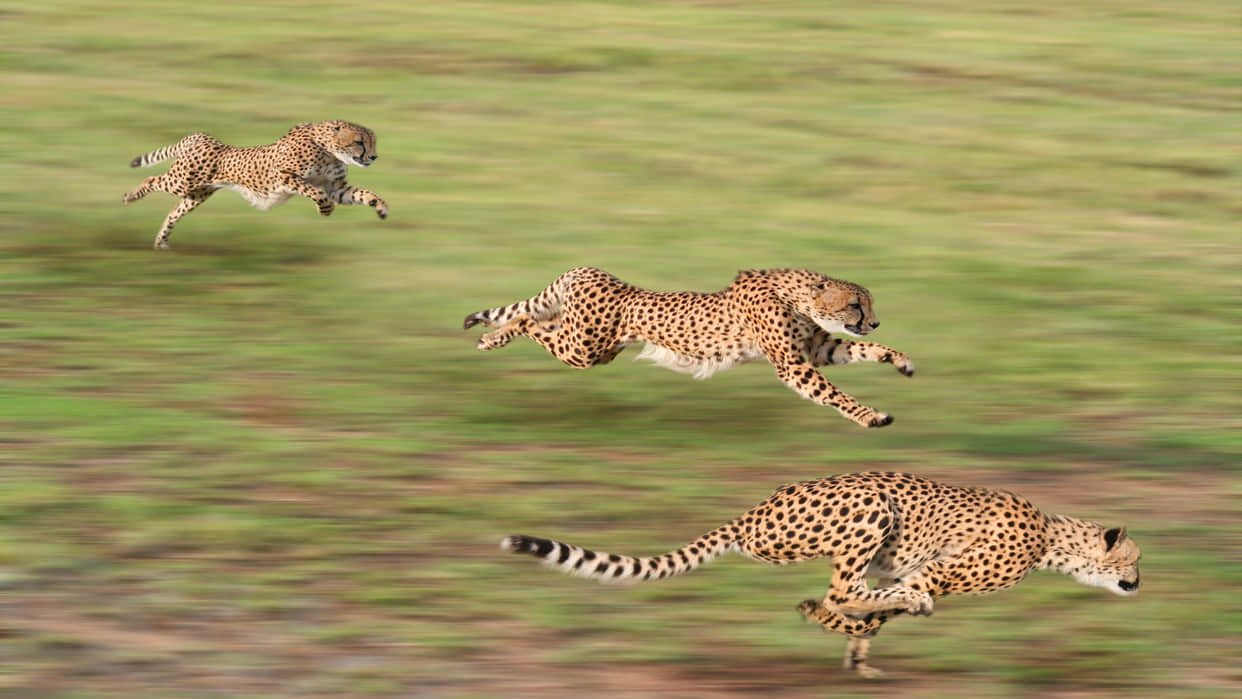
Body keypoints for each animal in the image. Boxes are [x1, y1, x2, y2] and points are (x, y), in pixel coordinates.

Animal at [123, 120, 388, 249]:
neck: (328, 149)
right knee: (151, 179)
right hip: (182, 180)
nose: (374, 157)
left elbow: (365, 193)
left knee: (173, 213)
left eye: (373, 142)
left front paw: (381, 207)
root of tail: (202, 137)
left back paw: (161, 241)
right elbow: (313, 191)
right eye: (359, 142)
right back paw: (130, 197)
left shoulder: (336, 188)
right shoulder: (283, 175)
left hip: (197, 194)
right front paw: (325, 209)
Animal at [463, 266, 914, 428]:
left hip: (588, 342)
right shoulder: (792, 364)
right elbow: (835, 394)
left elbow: (864, 350)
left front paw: (901, 360)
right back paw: (492, 337)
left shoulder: (817, 350)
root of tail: (589, 270)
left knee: (537, 321)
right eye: (855, 304)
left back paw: (490, 335)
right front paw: (871, 416)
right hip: (583, 350)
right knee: (526, 321)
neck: (799, 294)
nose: (873, 321)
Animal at [502, 471, 1142, 678]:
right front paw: (853, 634)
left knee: (847, 593)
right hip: (872, 507)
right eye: (1135, 560)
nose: (1140, 583)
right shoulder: (939, 570)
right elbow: (897, 598)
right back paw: (823, 608)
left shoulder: (918, 571)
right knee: (842, 588)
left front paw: (856, 652)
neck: (1054, 536)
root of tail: (753, 510)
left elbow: (883, 607)